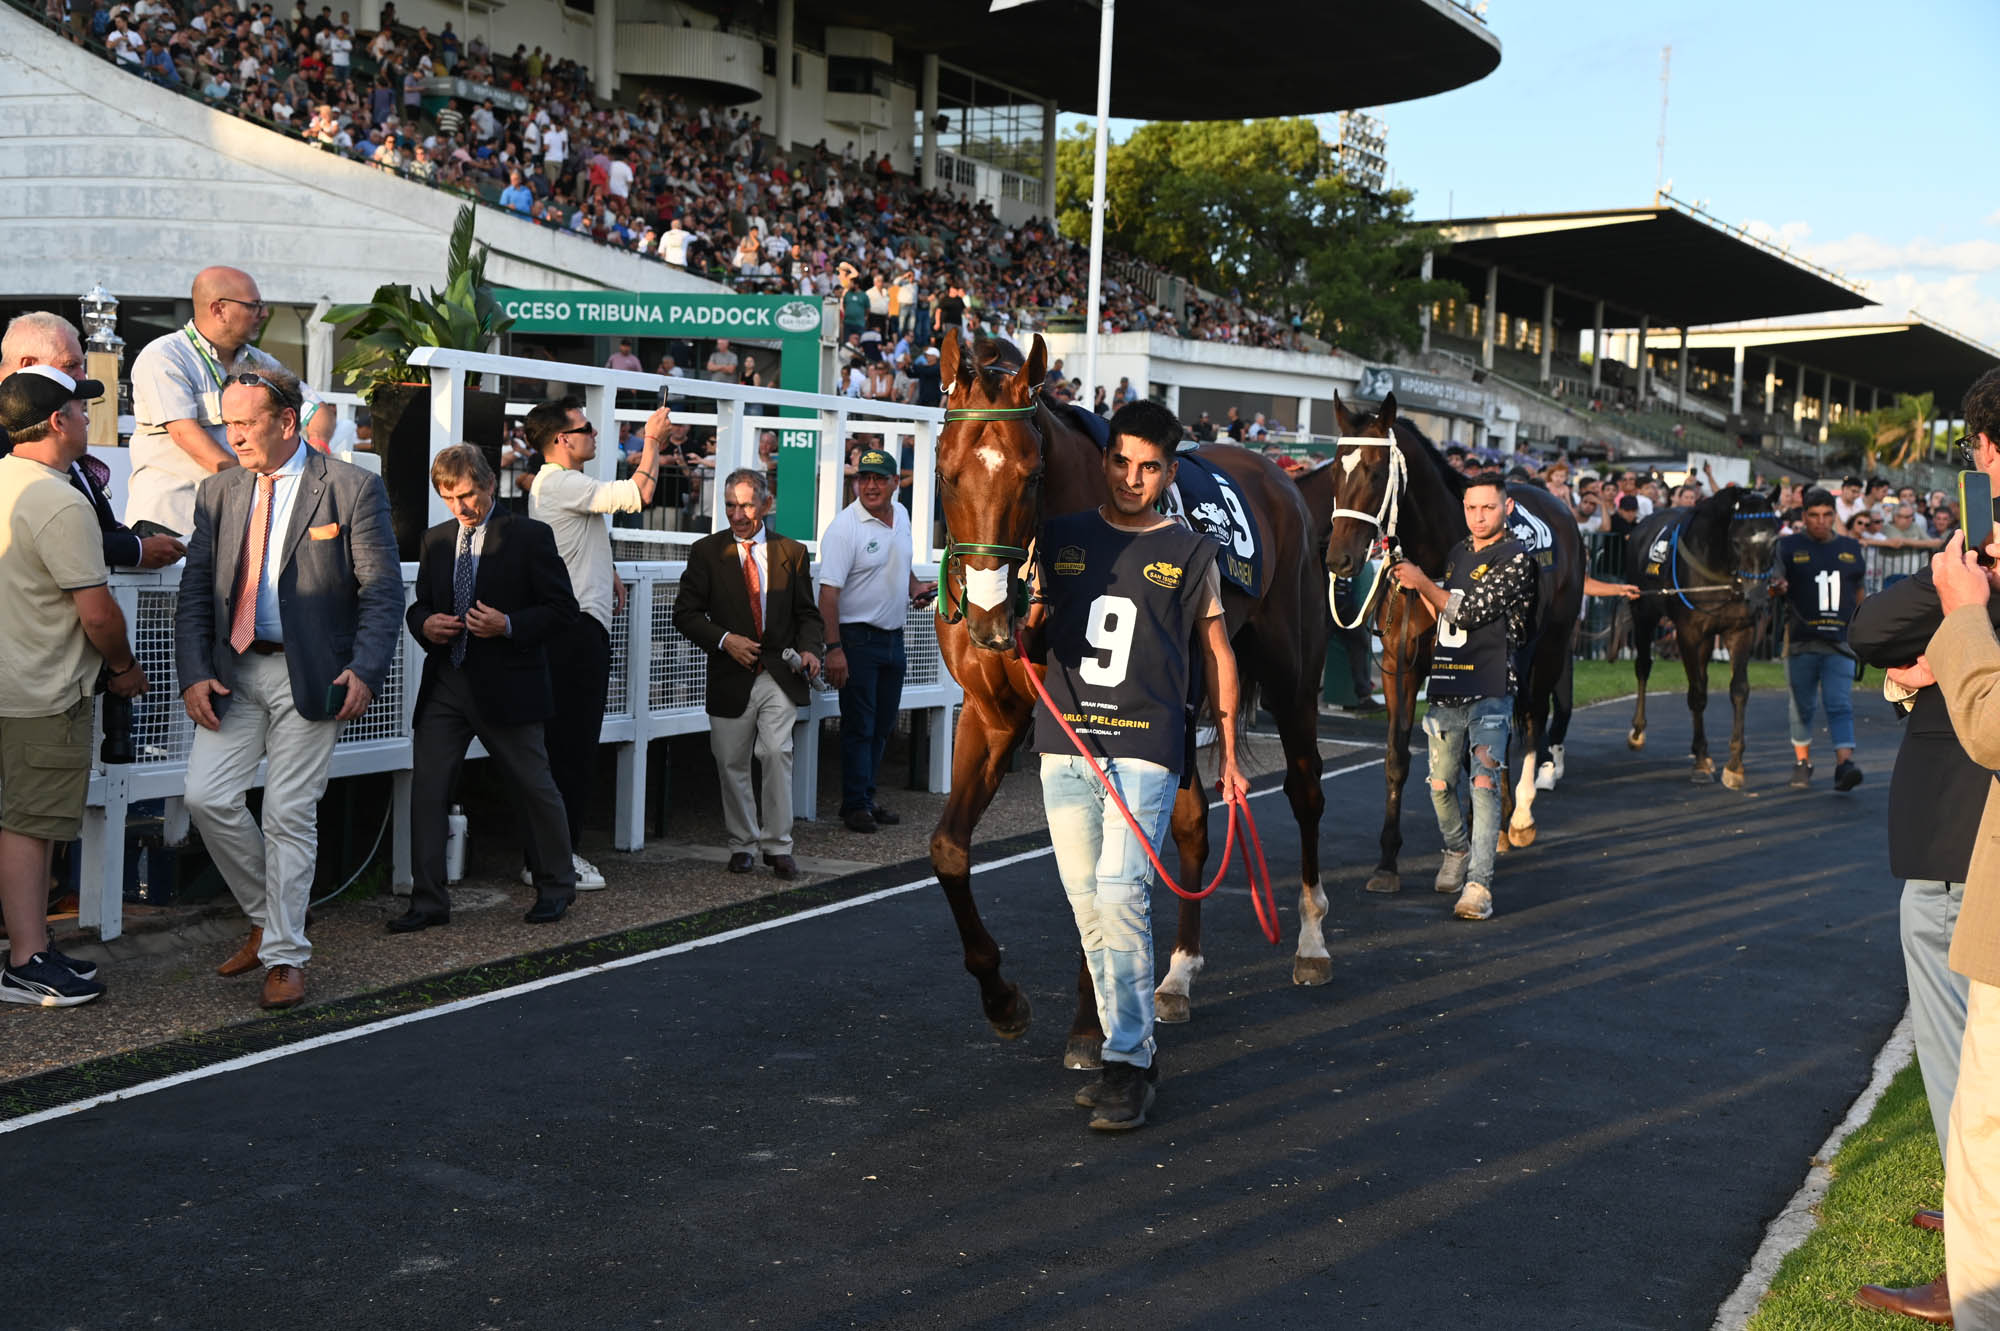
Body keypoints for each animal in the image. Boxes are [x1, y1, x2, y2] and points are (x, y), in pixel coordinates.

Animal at [927, 329, 1330, 1069]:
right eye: (945, 472)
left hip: (1292, 670)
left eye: (1030, 475)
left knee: (1306, 785)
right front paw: (1002, 1000)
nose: (991, 617)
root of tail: (1280, 475)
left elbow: (1095, 870)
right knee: (1194, 823)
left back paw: (1312, 940)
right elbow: (948, 849)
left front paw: (1091, 1028)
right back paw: (1176, 974)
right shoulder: (992, 716)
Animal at [1319, 394, 1585, 894]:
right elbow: (1400, 757)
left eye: (1376, 471)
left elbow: (1471, 753)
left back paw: (1520, 815)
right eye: (1335, 471)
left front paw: (1482, 831)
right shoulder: (1400, 668)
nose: (1339, 558)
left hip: (1550, 647)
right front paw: (1388, 862)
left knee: (1533, 720)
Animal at [1624, 487, 1782, 786]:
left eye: (1774, 539)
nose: (1757, 596)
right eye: (1737, 541)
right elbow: (1696, 693)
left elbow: (1739, 690)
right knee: (1643, 666)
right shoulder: (1688, 633)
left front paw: (1734, 765)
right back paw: (1638, 731)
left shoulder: (1739, 630)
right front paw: (1699, 762)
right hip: (1643, 613)